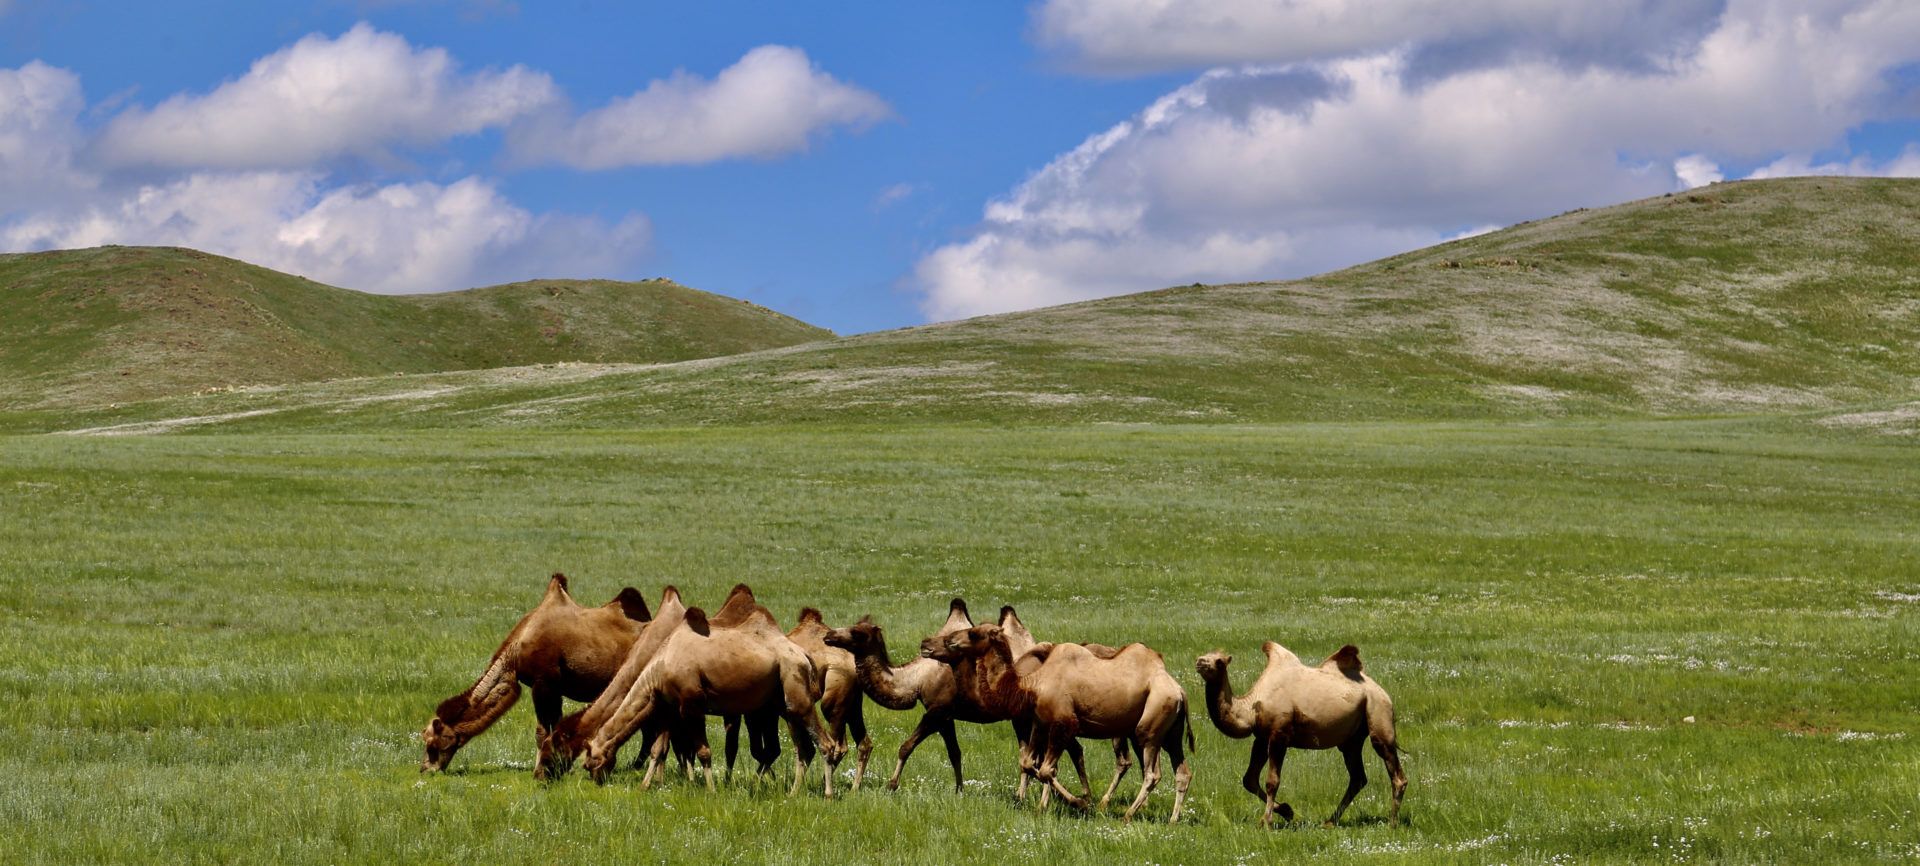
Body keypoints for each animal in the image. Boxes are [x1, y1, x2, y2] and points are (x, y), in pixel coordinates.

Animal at [420, 572, 652, 783]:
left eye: (432, 744)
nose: (425, 769)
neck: (515, 651)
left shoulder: (544, 683)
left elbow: (542, 732)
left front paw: (540, 770)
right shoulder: (553, 688)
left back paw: (636, 766)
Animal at [572, 602, 837, 798]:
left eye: (590, 763)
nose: (596, 781)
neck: (660, 668)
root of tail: (803, 655)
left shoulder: (692, 705)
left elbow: (703, 752)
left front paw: (710, 790)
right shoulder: (668, 708)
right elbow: (658, 750)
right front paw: (644, 786)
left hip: (794, 685)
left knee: (825, 744)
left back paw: (827, 793)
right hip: (779, 700)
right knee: (804, 748)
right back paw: (790, 792)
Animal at [925, 625, 1182, 825]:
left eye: (973, 632)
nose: (939, 641)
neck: (1029, 685)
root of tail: (1178, 689)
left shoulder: (1063, 723)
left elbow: (1047, 768)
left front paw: (1078, 802)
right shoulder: (1039, 723)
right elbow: (1030, 764)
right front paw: (1048, 803)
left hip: (1144, 728)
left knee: (1141, 767)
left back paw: (1122, 810)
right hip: (1155, 732)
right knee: (1167, 769)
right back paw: (1160, 814)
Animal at [1198, 641, 1413, 829]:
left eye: (1219, 661)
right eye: (1205, 655)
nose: (1200, 662)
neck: (1251, 709)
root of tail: (1381, 691)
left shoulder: (1279, 735)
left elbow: (1272, 781)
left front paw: (1267, 822)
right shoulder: (1261, 738)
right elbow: (1249, 779)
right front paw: (1286, 811)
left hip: (1378, 713)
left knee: (1393, 769)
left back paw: (1392, 823)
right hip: (1352, 739)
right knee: (1358, 777)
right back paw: (1330, 822)